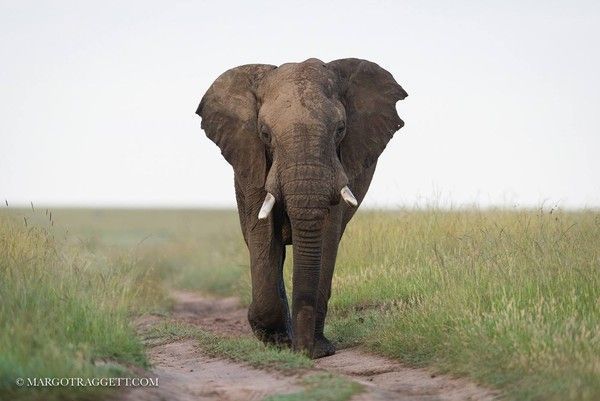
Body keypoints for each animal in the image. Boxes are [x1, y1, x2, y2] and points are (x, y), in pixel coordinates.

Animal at [197, 57, 408, 358]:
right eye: (264, 133)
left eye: (341, 129)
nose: (304, 352)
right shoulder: (253, 161)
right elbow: (263, 235)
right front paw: (278, 342)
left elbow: (327, 236)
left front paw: (318, 349)